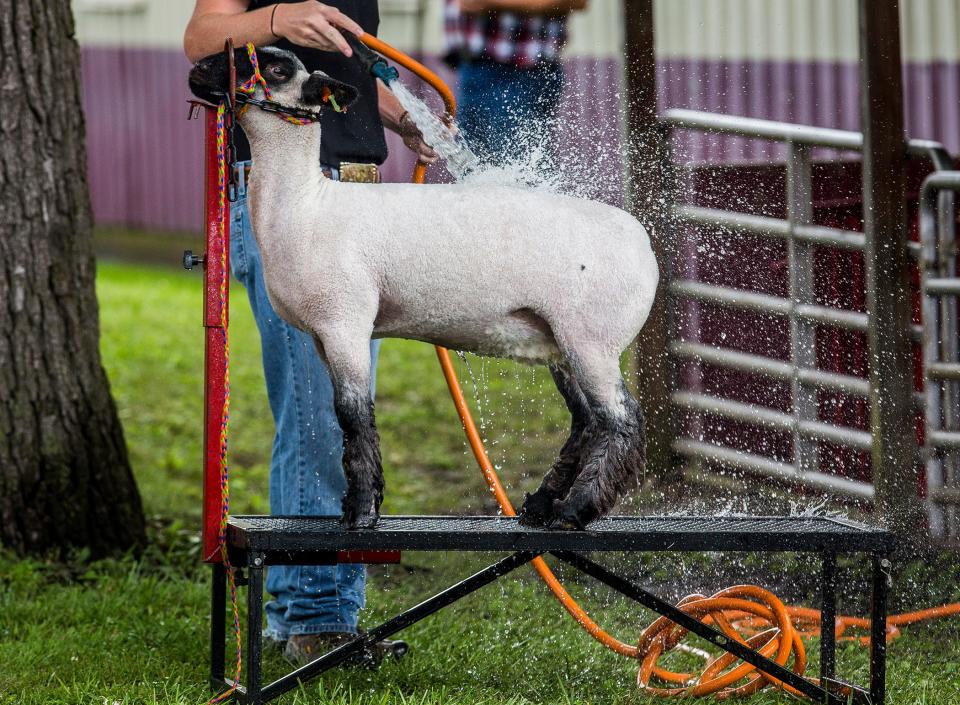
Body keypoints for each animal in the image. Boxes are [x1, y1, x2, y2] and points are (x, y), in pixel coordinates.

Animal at [192, 46, 660, 532]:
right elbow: (347, 418)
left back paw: (574, 510)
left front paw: (363, 510)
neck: (305, 204)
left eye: (278, 69)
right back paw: (543, 505)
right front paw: (357, 503)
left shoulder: (345, 323)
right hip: (559, 343)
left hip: (591, 340)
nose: (199, 69)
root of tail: (642, 242)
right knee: (586, 421)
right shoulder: (322, 337)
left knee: (621, 421)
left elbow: (353, 415)